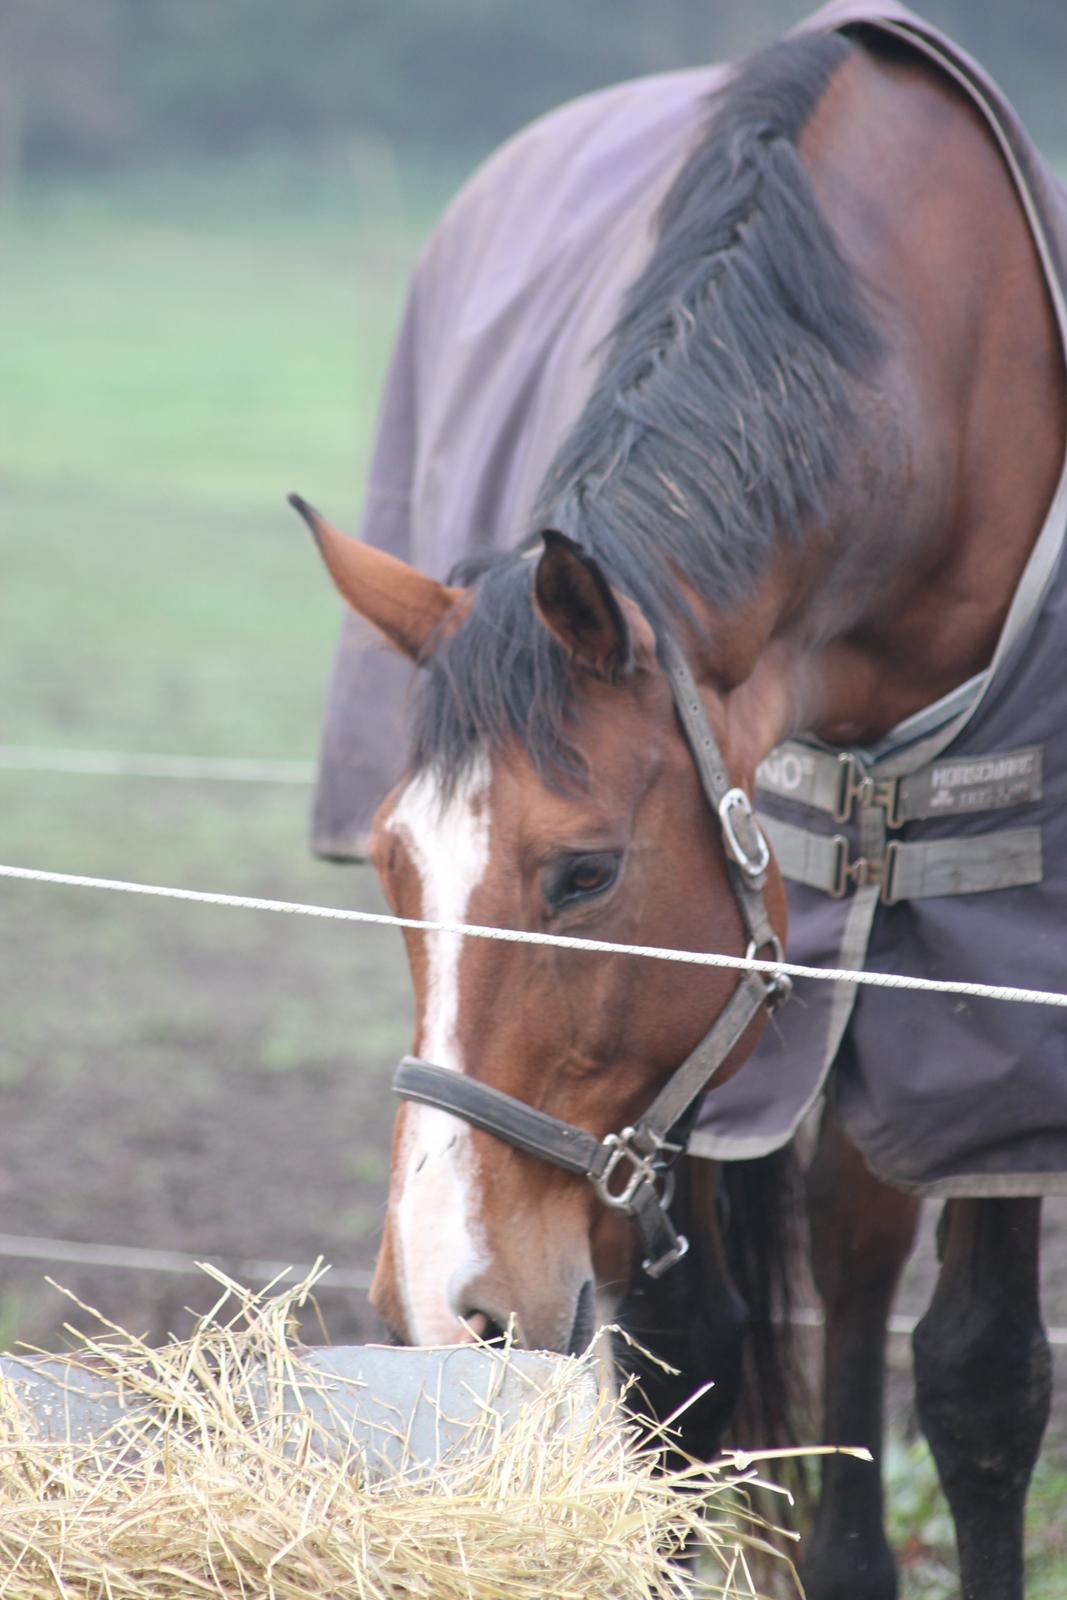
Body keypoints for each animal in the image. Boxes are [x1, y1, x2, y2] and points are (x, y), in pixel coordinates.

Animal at [294, 21, 1067, 1600]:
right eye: (396, 867)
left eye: (584, 874)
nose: (442, 1298)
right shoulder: (719, 1062)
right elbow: (688, 1369)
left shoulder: (984, 987)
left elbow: (976, 1380)